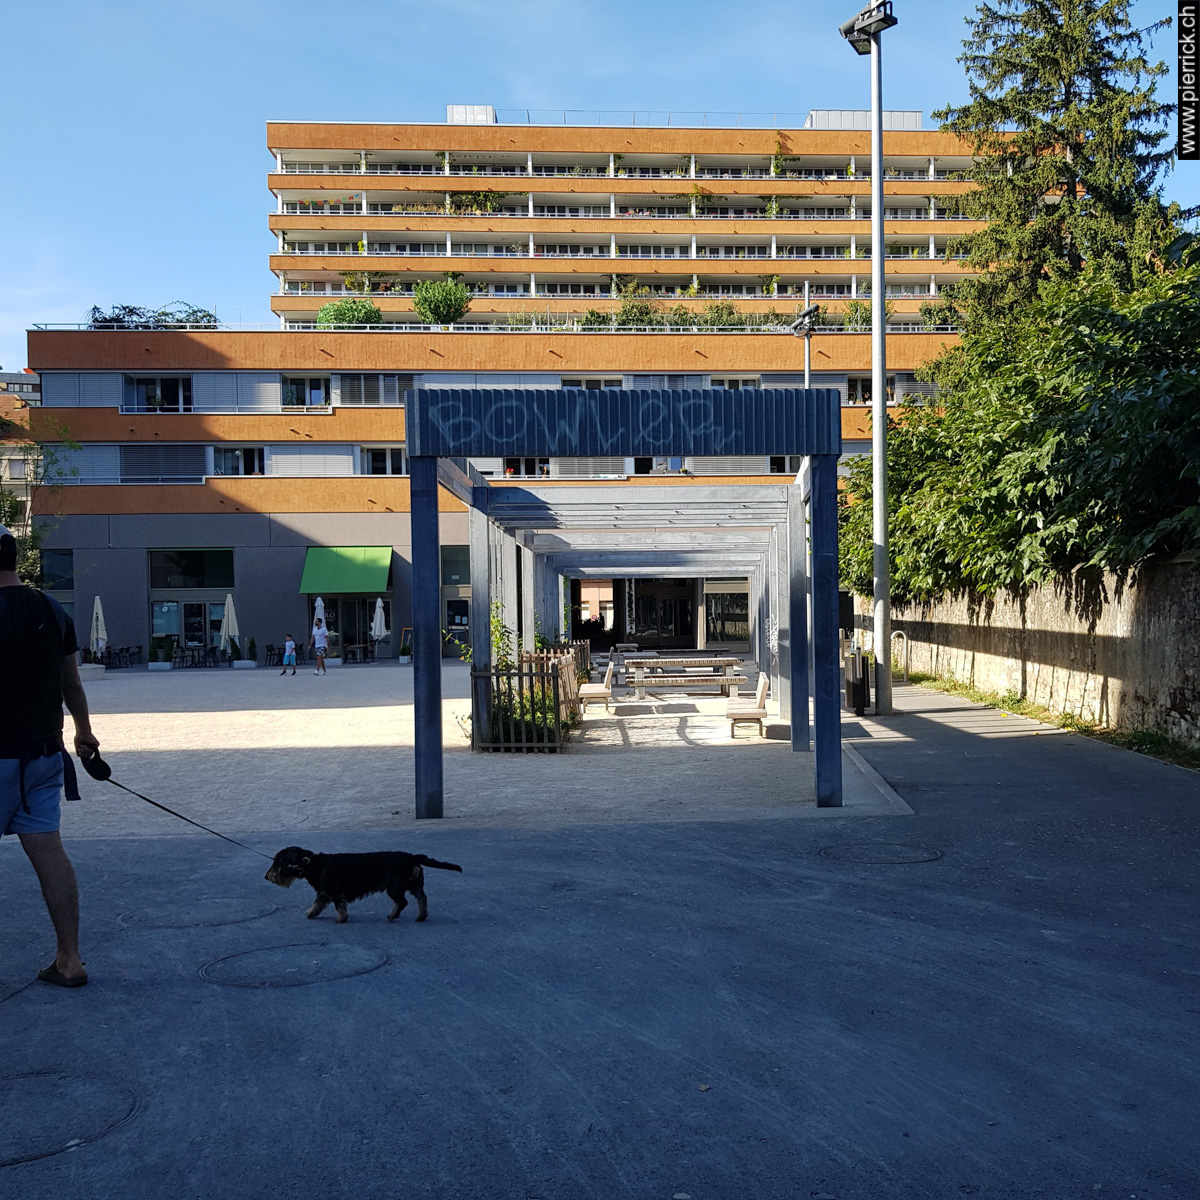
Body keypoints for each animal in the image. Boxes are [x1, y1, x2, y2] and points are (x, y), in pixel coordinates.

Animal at [265, 846, 462, 924]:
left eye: (276, 862)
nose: (267, 877)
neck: (312, 864)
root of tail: (411, 857)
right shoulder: (324, 893)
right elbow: (317, 904)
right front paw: (311, 913)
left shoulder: (334, 893)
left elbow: (339, 907)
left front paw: (341, 919)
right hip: (414, 885)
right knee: (422, 898)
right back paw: (421, 916)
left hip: (394, 887)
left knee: (402, 902)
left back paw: (393, 915)